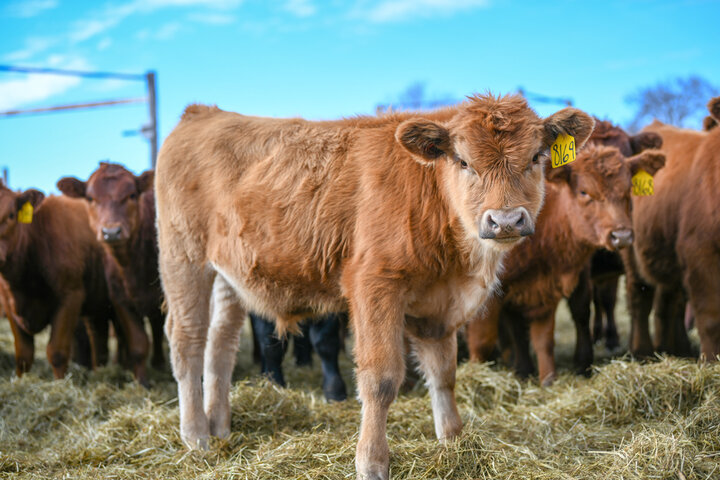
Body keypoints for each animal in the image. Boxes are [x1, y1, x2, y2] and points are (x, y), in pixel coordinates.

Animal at [0, 188, 148, 382]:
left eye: (10, 215)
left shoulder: (71, 295)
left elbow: (57, 351)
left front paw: (59, 384)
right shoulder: (9, 305)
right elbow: (23, 356)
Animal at [155, 94, 592, 480]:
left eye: (535, 158)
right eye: (463, 161)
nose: (504, 221)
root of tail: (202, 113)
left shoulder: (439, 307)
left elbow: (444, 374)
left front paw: (453, 443)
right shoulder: (374, 286)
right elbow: (380, 380)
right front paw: (372, 463)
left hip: (228, 277)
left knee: (220, 346)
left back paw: (219, 427)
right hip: (184, 259)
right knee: (187, 341)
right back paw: (196, 437)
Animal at [466, 144, 664, 384]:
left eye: (629, 190)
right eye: (584, 192)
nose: (622, 236)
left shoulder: (541, 290)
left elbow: (543, 340)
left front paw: (548, 380)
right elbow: (482, 342)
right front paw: (474, 378)